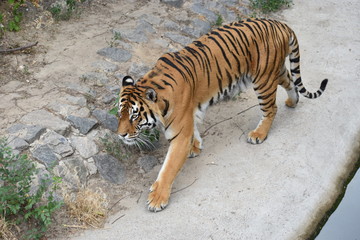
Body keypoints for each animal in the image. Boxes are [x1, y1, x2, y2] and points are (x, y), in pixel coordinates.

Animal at [116, 18, 328, 212]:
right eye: (120, 114)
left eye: (134, 116)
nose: (121, 135)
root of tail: (280, 24)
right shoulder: (189, 117)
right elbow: (194, 130)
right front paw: (195, 147)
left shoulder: (179, 133)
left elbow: (169, 167)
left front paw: (157, 199)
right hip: (274, 71)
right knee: (291, 81)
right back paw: (292, 102)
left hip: (263, 79)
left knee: (271, 108)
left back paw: (258, 134)